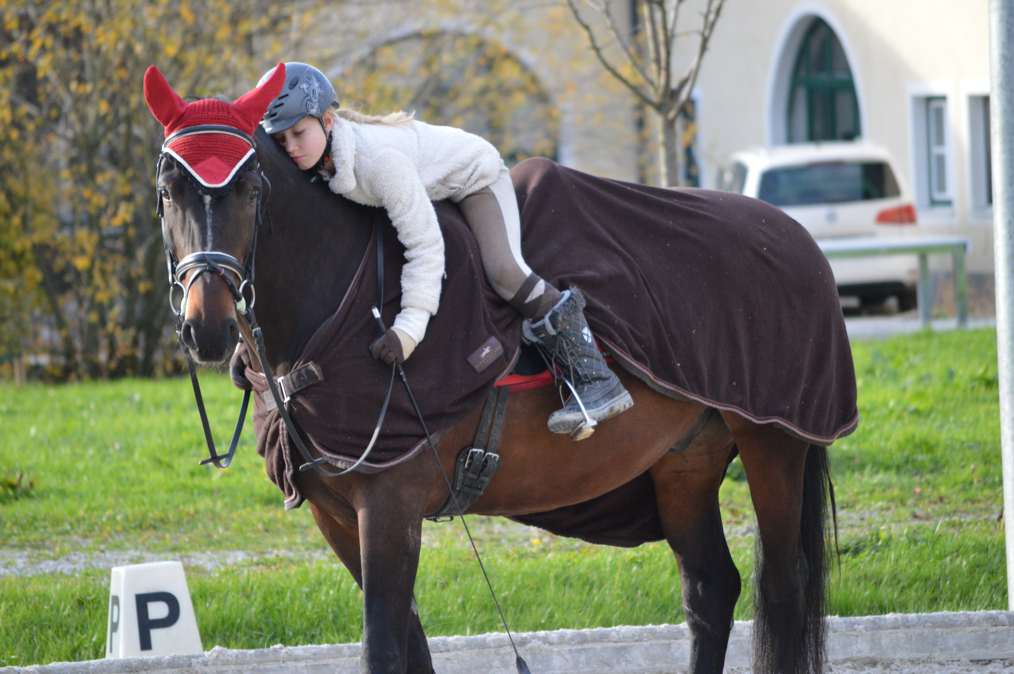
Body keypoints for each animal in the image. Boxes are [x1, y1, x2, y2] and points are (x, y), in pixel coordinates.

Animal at [156, 122, 839, 672]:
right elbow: (412, 644)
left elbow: (384, 647)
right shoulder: (337, 516)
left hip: (774, 443)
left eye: (249, 190)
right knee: (709, 590)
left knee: (781, 589)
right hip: (683, 463)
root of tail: (793, 235)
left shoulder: (390, 506)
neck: (345, 307)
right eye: (169, 192)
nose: (207, 326)